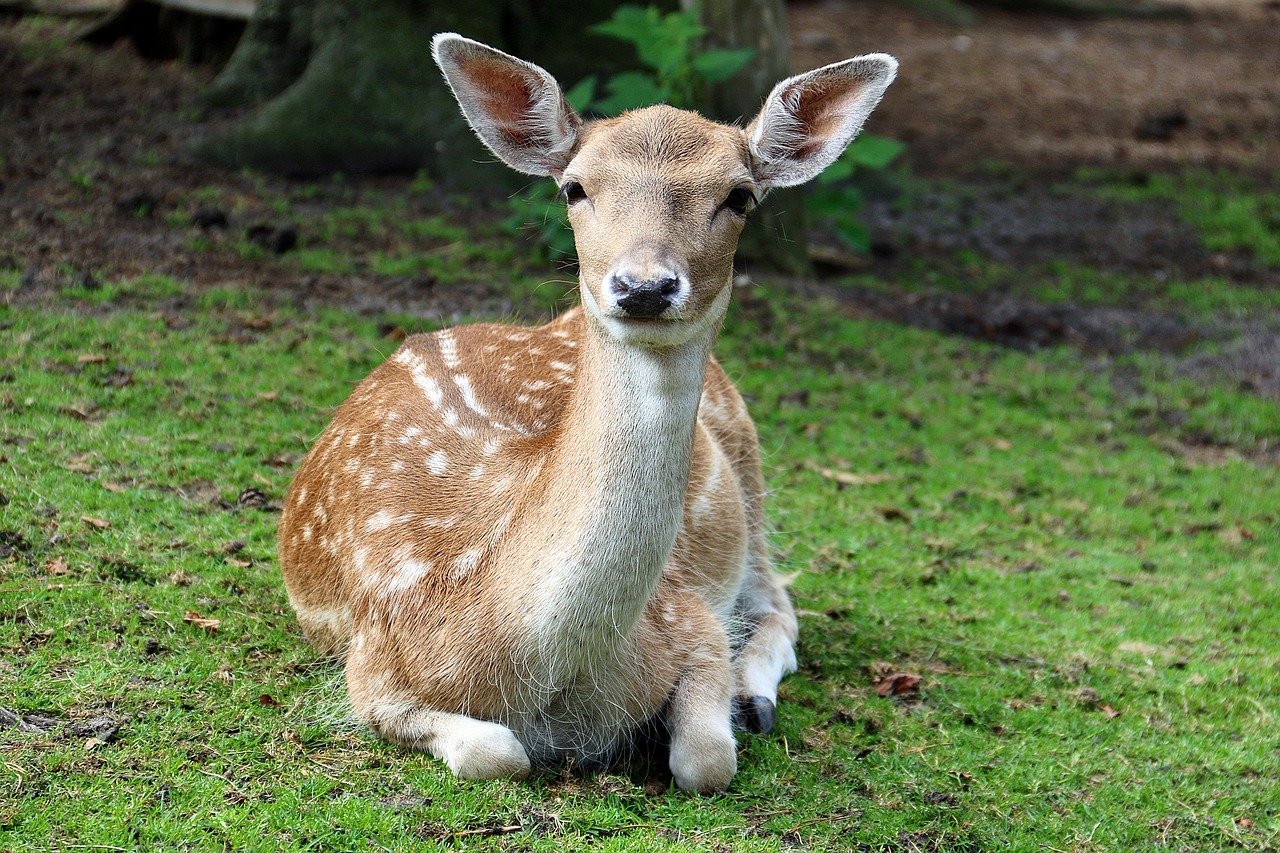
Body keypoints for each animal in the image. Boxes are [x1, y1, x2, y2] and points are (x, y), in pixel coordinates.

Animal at [279, 33, 896, 788]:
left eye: (740, 195)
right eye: (574, 186)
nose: (645, 285)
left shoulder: (687, 613)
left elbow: (707, 758)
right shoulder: (371, 665)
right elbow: (495, 752)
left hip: (750, 476)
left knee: (779, 596)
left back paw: (755, 697)